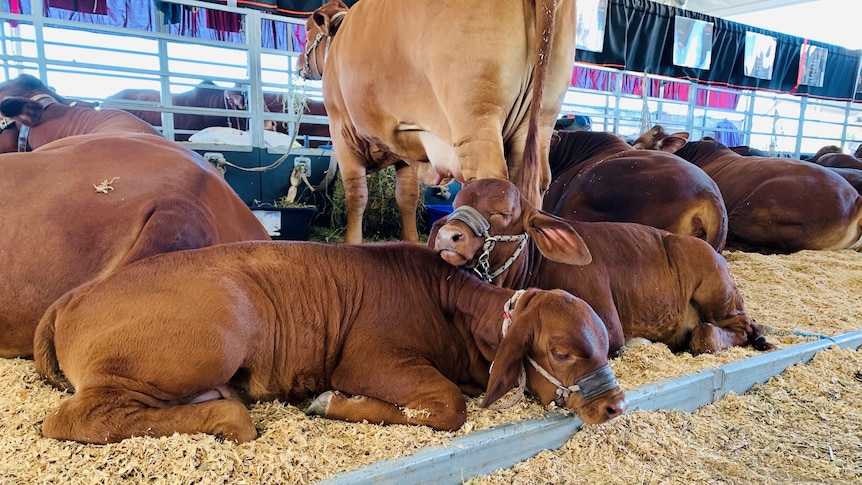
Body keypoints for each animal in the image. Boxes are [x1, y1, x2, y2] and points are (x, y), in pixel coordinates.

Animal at [33, 242, 628, 442]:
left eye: (604, 346)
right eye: (561, 352)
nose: (617, 405)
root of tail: (72, 297)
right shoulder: (369, 359)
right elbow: (447, 407)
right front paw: (329, 402)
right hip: (210, 339)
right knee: (73, 418)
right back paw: (231, 418)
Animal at [304, 0, 580, 242]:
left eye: (307, 31)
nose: (300, 65)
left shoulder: (341, 131)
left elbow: (356, 195)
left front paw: (352, 241)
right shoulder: (406, 148)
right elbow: (407, 197)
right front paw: (410, 240)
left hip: (476, 116)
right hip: (541, 119)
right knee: (534, 184)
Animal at [432, 178, 776, 356]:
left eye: (504, 212)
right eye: (455, 204)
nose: (450, 235)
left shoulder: (607, 325)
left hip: (718, 293)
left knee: (721, 331)